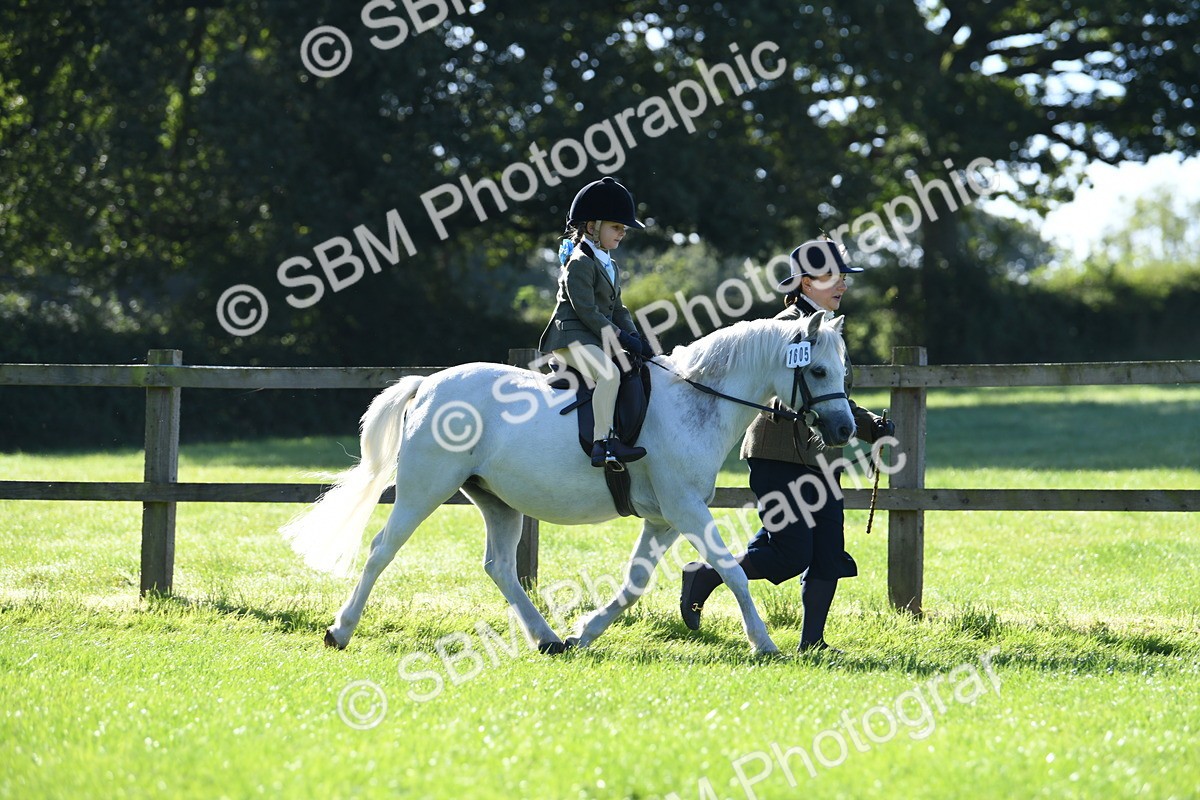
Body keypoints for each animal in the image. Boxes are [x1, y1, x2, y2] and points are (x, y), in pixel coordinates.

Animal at [281, 310, 854, 654]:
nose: (846, 429)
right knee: (382, 549)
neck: (697, 400)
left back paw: (548, 638)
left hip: (496, 500)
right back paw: (340, 630)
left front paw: (585, 632)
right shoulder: (686, 509)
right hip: (426, 487)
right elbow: (733, 571)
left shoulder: (665, 519)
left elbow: (635, 582)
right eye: (818, 372)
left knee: (499, 567)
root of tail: (428, 386)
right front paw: (763, 643)